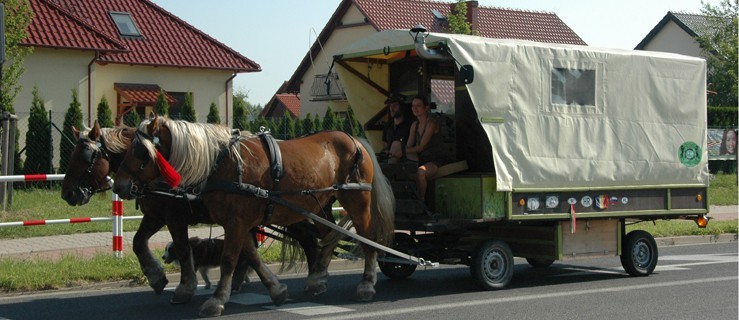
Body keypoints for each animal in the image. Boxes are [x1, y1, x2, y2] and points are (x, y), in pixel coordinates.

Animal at [60, 122, 320, 304]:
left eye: (85, 156)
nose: (67, 193)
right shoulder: (156, 215)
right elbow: (138, 242)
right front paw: (156, 276)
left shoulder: (175, 218)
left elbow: (183, 249)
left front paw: (184, 287)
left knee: (309, 239)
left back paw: (314, 279)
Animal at [112, 115, 396, 318]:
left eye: (140, 151)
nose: (119, 186)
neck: (220, 163)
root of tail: (356, 141)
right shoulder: (237, 222)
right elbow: (250, 255)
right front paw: (276, 289)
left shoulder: (229, 221)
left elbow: (226, 259)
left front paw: (215, 299)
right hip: (320, 206)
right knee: (328, 238)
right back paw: (316, 279)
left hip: (356, 201)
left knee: (367, 239)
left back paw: (366, 284)